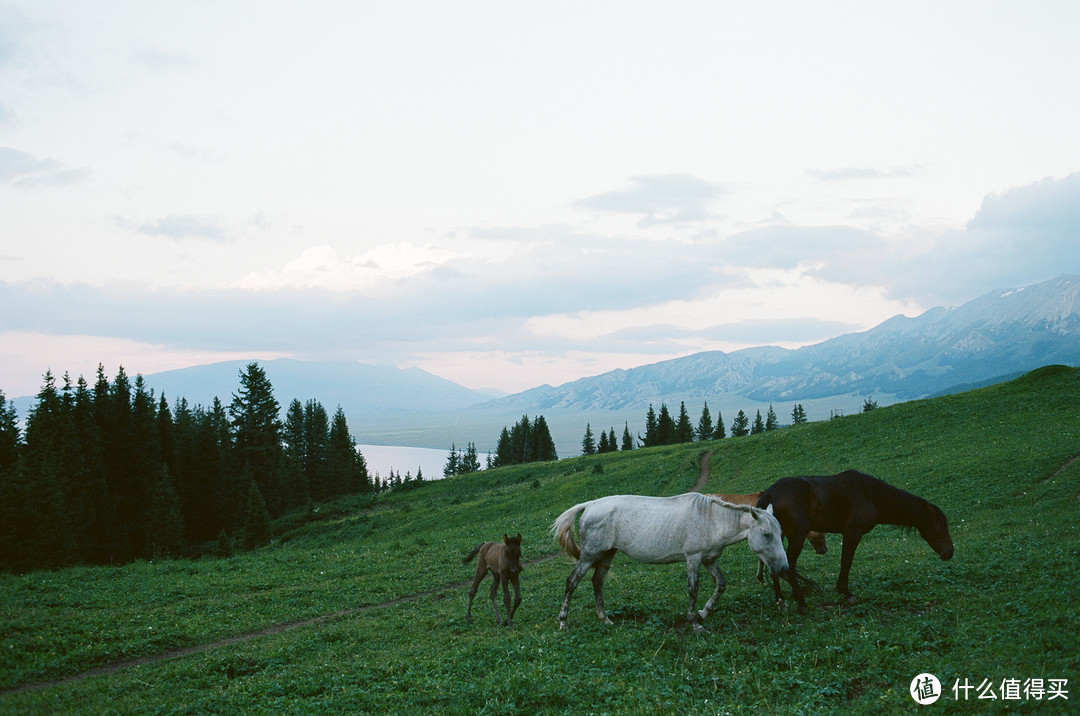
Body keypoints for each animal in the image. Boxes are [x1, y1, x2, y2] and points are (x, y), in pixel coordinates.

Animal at [552, 492, 790, 635]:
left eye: (780, 533)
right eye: (767, 534)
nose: (783, 569)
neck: (711, 520)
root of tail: (590, 505)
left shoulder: (709, 559)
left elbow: (721, 584)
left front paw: (703, 613)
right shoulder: (693, 558)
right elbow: (693, 589)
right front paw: (694, 622)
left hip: (606, 554)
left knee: (597, 582)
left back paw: (605, 619)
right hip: (589, 555)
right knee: (572, 582)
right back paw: (563, 622)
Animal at [751, 470, 954, 617]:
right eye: (940, 525)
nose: (949, 552)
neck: (870, 495)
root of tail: (769, 493)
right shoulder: (853, 533)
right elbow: (846, 562)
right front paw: (846, 592)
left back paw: (781, 600)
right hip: (797, 536)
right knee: (789, 566)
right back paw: (800, 601)